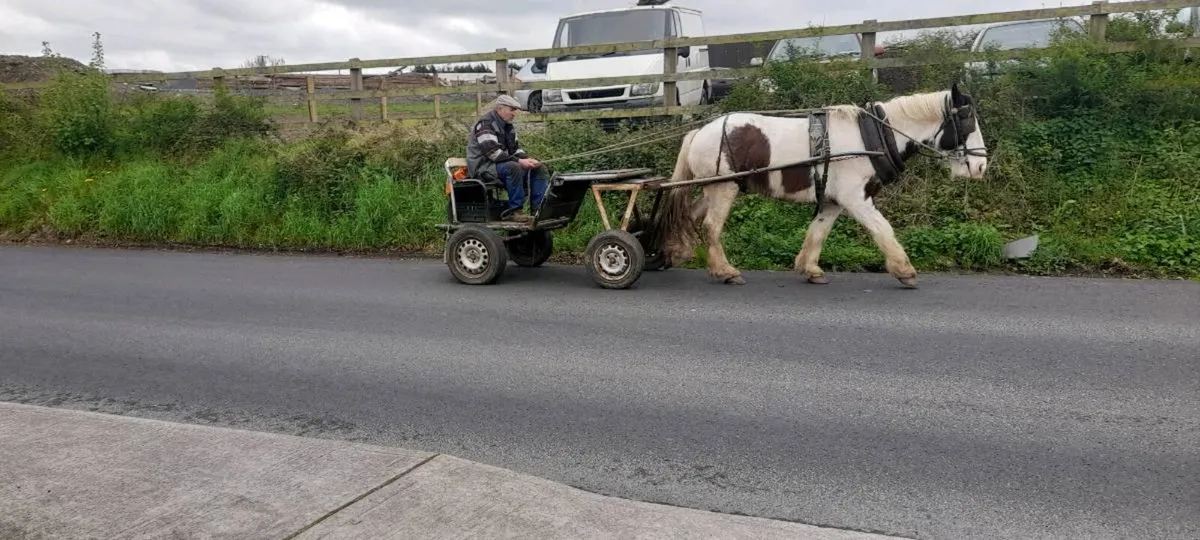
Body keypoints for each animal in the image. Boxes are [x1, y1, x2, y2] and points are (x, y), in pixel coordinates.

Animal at [652, 82, 989, 288]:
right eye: (968, 121)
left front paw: (809, 268)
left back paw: (675, 252)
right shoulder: (856, 199)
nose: (982, 166)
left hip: (714, 187)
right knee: (711, 226)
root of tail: (699, 131)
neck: (875, 136)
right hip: (724, 188)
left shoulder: (833, 200)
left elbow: (818, 233)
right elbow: (883, 229)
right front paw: (904, 270)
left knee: (689, 216)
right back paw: (725, 271)